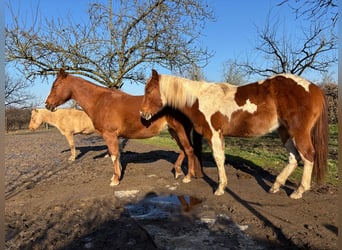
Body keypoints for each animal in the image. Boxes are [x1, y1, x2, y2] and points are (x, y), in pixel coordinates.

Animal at [44, 69, 202, 187]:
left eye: (55, 86)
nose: (47, 104)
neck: (101, 101)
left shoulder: (110, 135)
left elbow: (114, 155)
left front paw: (115, 179)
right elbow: (117, 155)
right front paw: (118, 174)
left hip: (179, 129)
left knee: (189, 150)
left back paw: (187, 176)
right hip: (173, 130)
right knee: (182, 149)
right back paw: (178, 171)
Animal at [140, 69, 328, 198]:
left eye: (148, 90)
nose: (143, 114)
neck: (199, 99)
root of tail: (314, 88)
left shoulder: (214, 134)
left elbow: (218, 159)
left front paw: (220, 188)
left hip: (298, 132)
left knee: (308, 155)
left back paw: (299, 191)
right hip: (284, 132)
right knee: (294, 158)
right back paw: (275, 186)